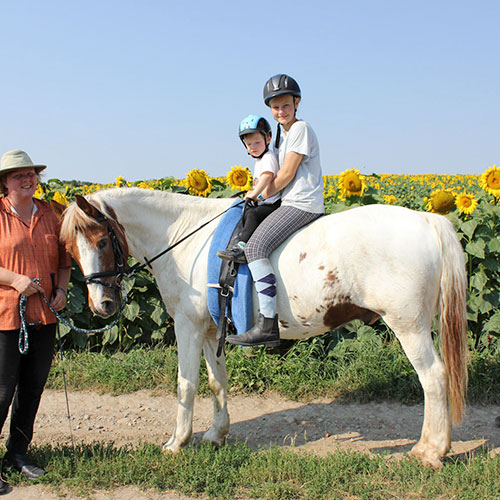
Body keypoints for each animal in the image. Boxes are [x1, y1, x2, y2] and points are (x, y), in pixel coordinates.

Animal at [58, 188, 468, 468]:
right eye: (72, 251)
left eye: (101, 240)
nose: (102, 306)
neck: (185, 238)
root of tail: (427, 220)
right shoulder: (211, 330)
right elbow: (216, 382)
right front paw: (216, 434)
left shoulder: (188, 327)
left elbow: (186, 384)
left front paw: (177, 442)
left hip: (408, 326)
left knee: (434, 378)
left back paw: (431, 450)